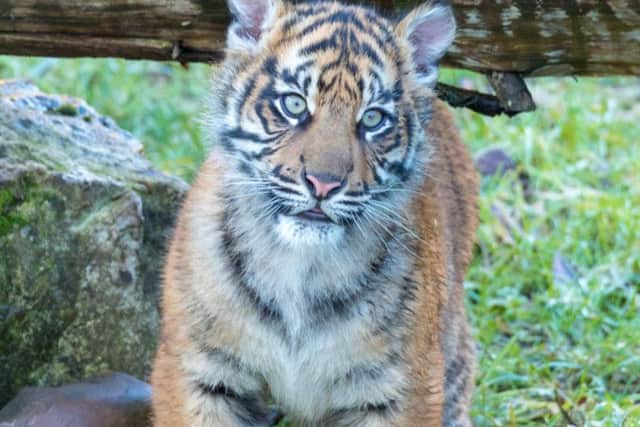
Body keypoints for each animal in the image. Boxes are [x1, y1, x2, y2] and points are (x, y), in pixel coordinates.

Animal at [151, 0, 478, 425]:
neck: (299, 267)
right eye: (293, 104)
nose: (323, 184)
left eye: (373, 119)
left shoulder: (401, 386)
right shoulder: (200, 368)